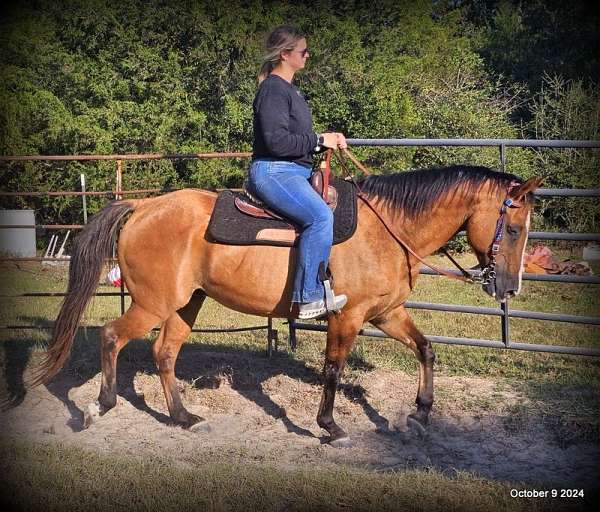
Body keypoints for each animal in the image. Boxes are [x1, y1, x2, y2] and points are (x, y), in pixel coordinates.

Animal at [30, 162, 540, 446]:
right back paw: (99, 407)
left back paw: (184, 418)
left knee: (164, 352)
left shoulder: (385, 313)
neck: (388, 229)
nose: (509, 288)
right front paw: (330, 427)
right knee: (112, 336)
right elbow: (333, 369)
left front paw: (420, 413)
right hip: (154, 303)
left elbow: (426, 348)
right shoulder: (347, 316)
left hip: (185, 303)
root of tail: (142, 207)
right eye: (514, 229)